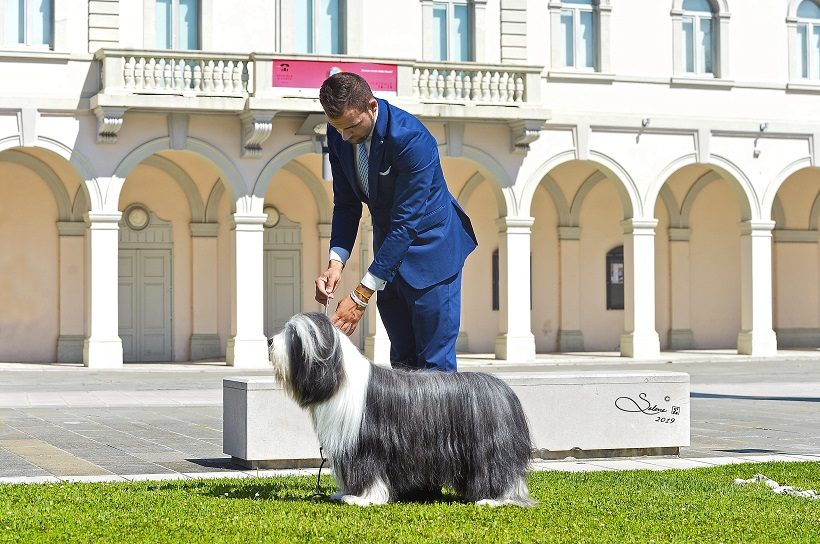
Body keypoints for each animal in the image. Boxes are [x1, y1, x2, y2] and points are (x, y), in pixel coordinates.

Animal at [270, 312, 536, 508]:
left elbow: (368, 470)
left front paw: (360, 498)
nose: (270, 341)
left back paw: (492, 499)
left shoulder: (367, 445)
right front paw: (345, 493)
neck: (339, 375)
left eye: (294, 335)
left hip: (489, 449)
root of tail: (504, 389)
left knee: (499, 471)